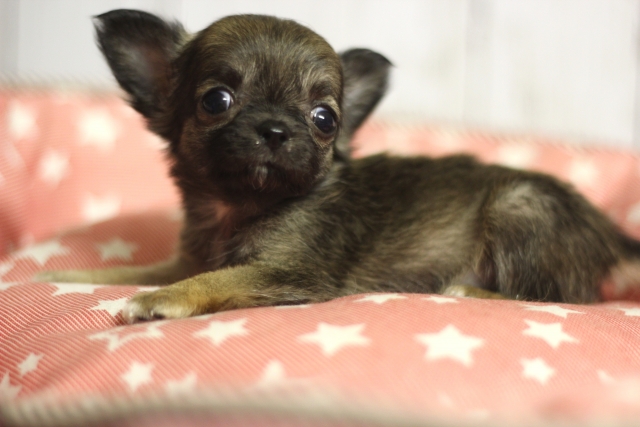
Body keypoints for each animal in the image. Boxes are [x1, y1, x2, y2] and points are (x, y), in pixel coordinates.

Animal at [37, 9, 640, 323]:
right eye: (216, 101)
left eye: (324, 119)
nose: (276, 129)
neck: (238, 206)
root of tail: (610, 231)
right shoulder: (187, 257)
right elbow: (131, 271)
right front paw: (59, 275)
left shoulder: (290, 273)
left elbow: (215, 279)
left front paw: (161, 300)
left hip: (520, 207)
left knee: (559, 297)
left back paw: (469, 292)